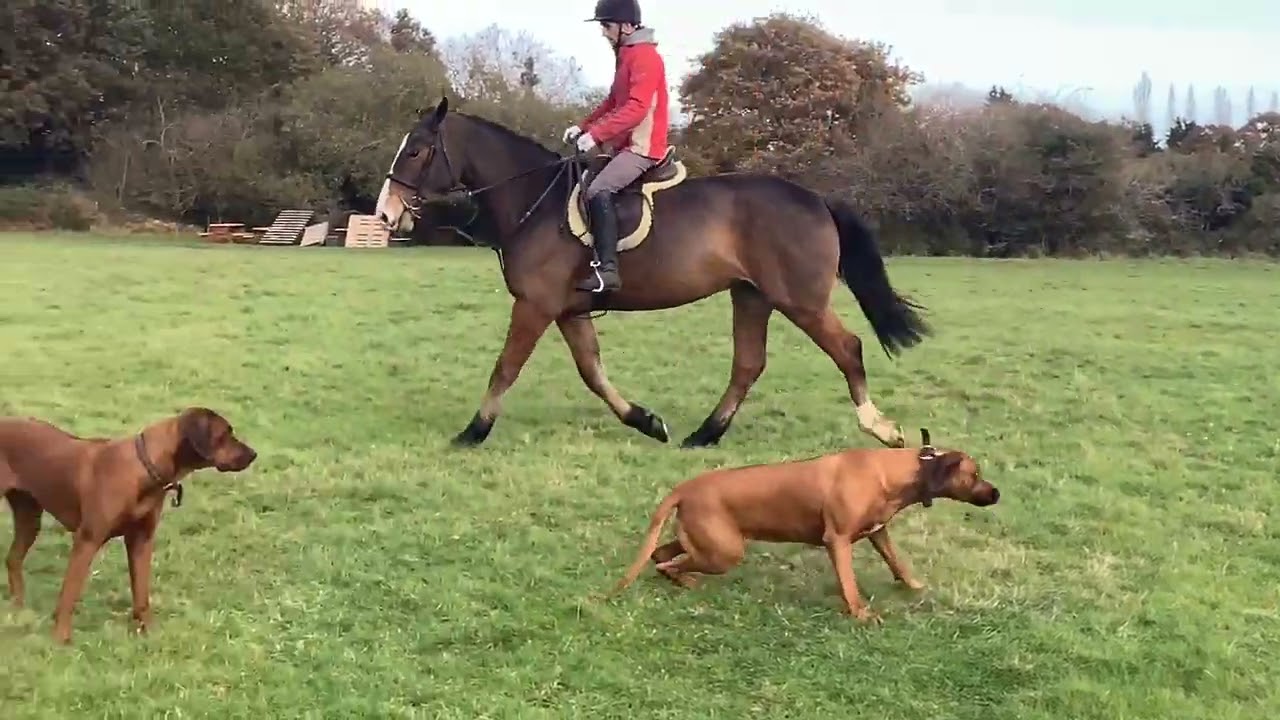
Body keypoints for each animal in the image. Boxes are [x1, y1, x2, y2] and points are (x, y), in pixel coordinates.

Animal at [375, 97, 931, 450]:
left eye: (418, 150)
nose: (385, 214)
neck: (537, 202)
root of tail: (815, 199)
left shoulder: (535, 306)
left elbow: (505, 369)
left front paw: (474, 431)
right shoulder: (568, 310)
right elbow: (593, 372)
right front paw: (645, 421)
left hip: (801, 301)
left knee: (847, 349)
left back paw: (880, 428)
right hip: (751, 296)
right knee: (748, 365)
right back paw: (705, 434)